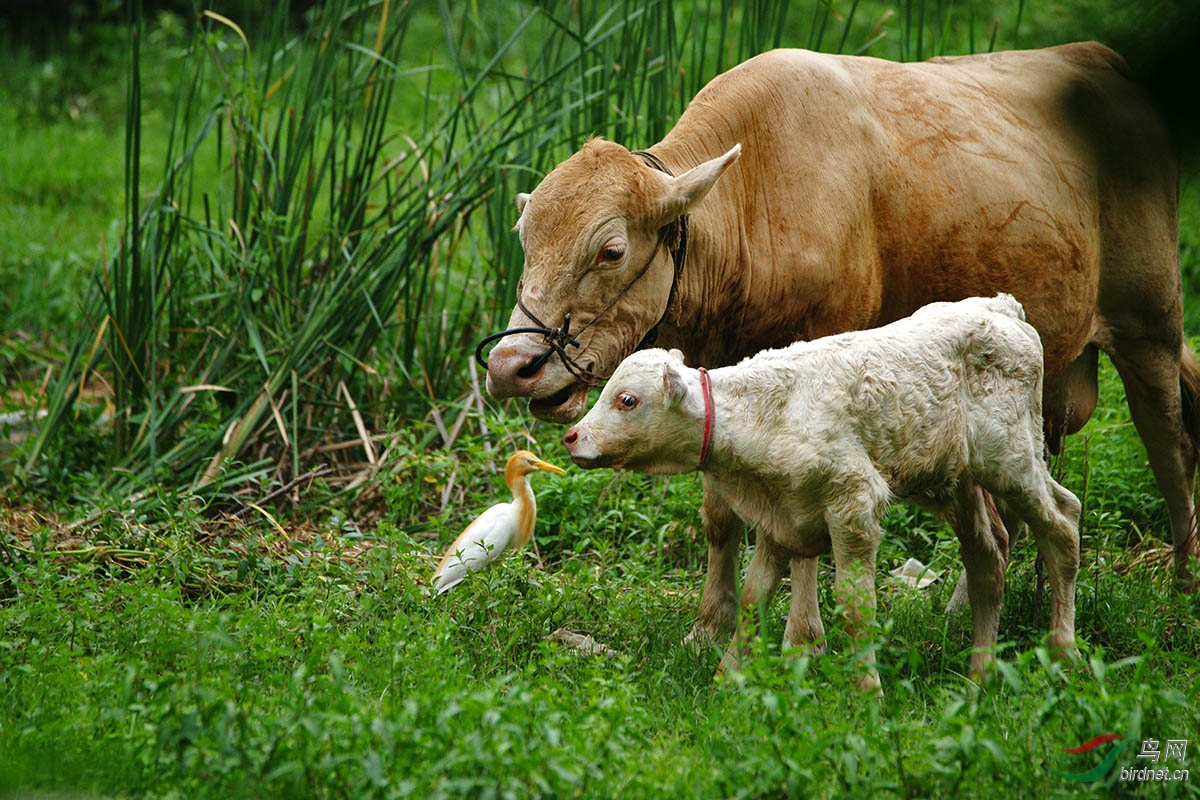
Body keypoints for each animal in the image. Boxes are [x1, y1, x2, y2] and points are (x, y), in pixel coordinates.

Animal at [482, 43, 1195, 642]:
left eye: (610, 249)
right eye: (523, 238)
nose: (511, 366)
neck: (757, 203)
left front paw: (806, 636)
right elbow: (721, 516)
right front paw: (708, 628)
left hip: (1151, 324)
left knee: (1170, 452)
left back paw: (1181, 592)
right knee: (1015, 507)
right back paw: (963, 609)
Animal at [566, 293, 1084, 690]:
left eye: (627, 400)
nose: (572, 436)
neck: (764, 414)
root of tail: (1001, 307)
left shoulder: (854, 503)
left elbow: (856, 607)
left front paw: (866, 692)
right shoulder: (781, 515)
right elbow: (754, 596)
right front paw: (724, 682)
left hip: (1013, 458)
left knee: (1063, 522)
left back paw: (1062, 651)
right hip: (958, 481)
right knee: (987, 559)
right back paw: (979, 676)